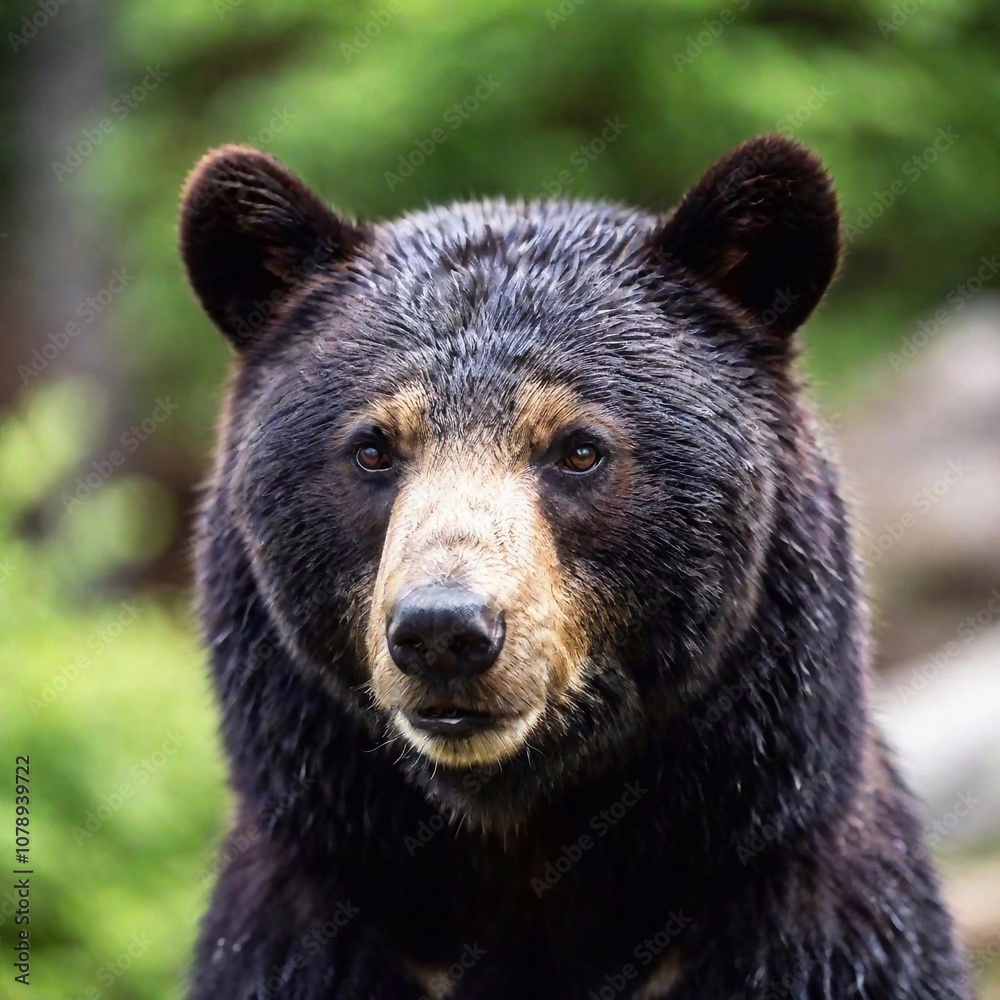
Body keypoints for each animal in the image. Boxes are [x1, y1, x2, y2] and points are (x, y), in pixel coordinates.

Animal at [178, 135, 969, 999]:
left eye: (579, 448)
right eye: (374, 448)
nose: (444, 631)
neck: (524, 842)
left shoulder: (813, 928)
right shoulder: (300, 934)